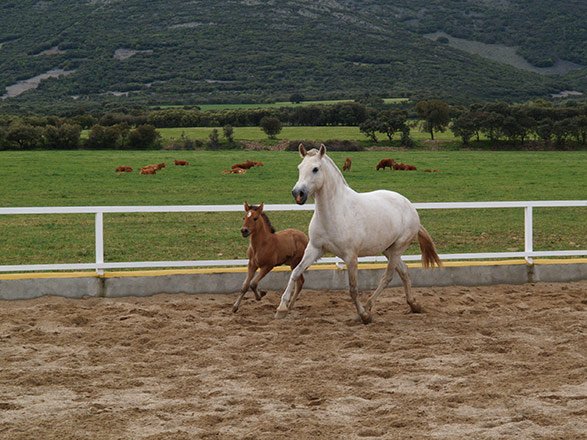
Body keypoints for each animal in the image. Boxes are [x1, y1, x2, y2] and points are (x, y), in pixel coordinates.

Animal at [276, 144, 440, 324]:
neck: (334, 212)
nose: (298, 193)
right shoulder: (314, 249)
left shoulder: (351, 257)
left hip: (397, 249)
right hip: (388, 250)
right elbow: (296, 272)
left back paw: (369, 307)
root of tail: (410, 207)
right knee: (404, 271)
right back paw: (413, 305)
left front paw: (363, 315)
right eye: (299, 168)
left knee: (387, 277)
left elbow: (353, 289)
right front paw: (281, 309)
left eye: (315, 169)